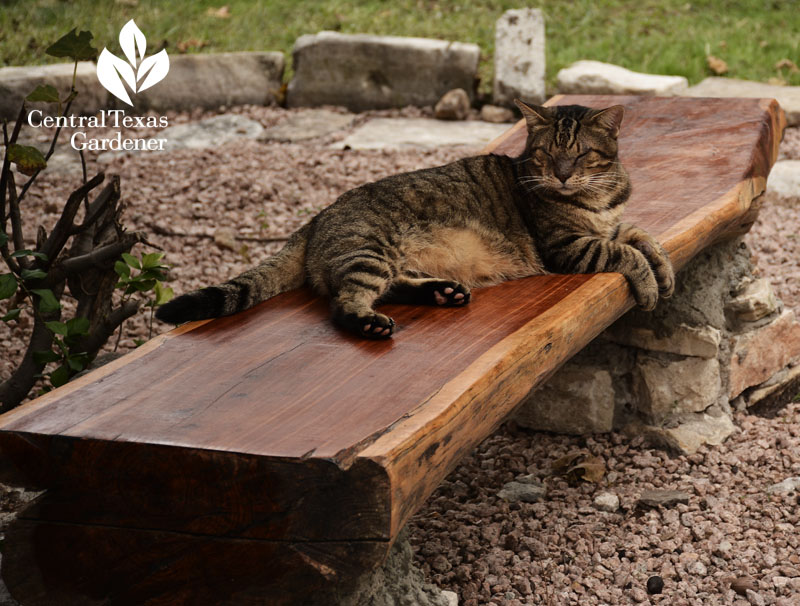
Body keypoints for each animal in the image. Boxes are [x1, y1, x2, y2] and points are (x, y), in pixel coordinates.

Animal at [156, 99, 676, 338]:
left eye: (582, 154)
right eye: (548, 154)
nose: (563, 175)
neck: (599, 198)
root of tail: (317, 217)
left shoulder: (614, 223)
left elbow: (643, 236)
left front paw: (665, 271)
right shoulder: (567, 245)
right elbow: (624, 252)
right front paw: (650, 286)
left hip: (390, 261)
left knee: (393, 285)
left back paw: (442, 292)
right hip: (369, 251)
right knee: (344, 302)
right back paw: (370, 323)